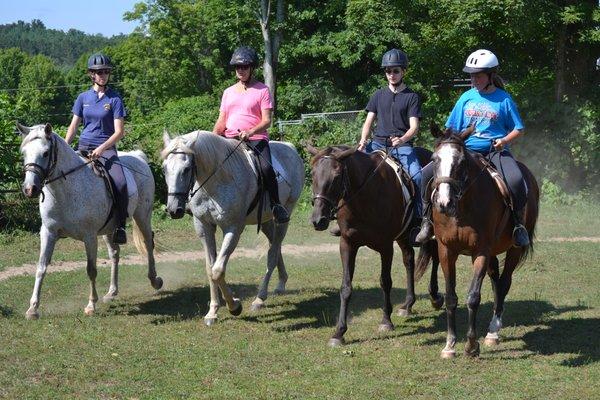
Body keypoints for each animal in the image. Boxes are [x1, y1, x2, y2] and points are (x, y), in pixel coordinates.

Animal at [17, 122, 163, 318]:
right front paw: (33, 308)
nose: (29, 189)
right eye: (24, 152)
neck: (66, 190)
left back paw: (155, 280)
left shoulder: (89, 236)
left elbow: (91, 270)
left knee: (148, 244)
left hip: (142, 216)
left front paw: (91, 305)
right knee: (115, 253)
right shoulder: (48, 232)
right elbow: (41, 267)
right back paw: (112, 292)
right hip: (111, 228)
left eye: (46, 153)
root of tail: (138, 156)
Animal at [162, 131, 304, 324]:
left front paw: (234, 306)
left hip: (285, 215)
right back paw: (281, 283)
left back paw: (260, 298)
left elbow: (218, 270)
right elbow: (210, 268)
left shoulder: (233, 228)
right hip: (266, 220)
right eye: (164, 169)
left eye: (186, 169)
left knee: (272, 253)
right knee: (275, 245)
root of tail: (290, 147)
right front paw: (212, 312)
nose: (173, 209)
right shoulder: (203, 226)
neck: (218, 180)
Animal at [308, 145, 442, 346]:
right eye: (313, 173)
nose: (318, 220)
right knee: (409, 260)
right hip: (403, 236)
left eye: (337, 176)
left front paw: (386, 321)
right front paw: (339, 332)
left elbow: (385, 282)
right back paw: (408, 304)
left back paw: (435, 296)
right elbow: (346, 287)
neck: (365, 196)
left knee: (435, 257)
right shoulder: (347, 244)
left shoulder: (385, 246)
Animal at [418, 123, 540, 358]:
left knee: (504, 283)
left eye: (461, 162)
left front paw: (471, 345)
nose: (444, 203)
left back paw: (493, 331)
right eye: (435, 159)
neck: (462, 207)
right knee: (495, 279)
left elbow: (473, 297)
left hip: (514, 249)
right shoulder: (446, 250)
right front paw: (449, 345)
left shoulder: (481, 251)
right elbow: (451, 297)